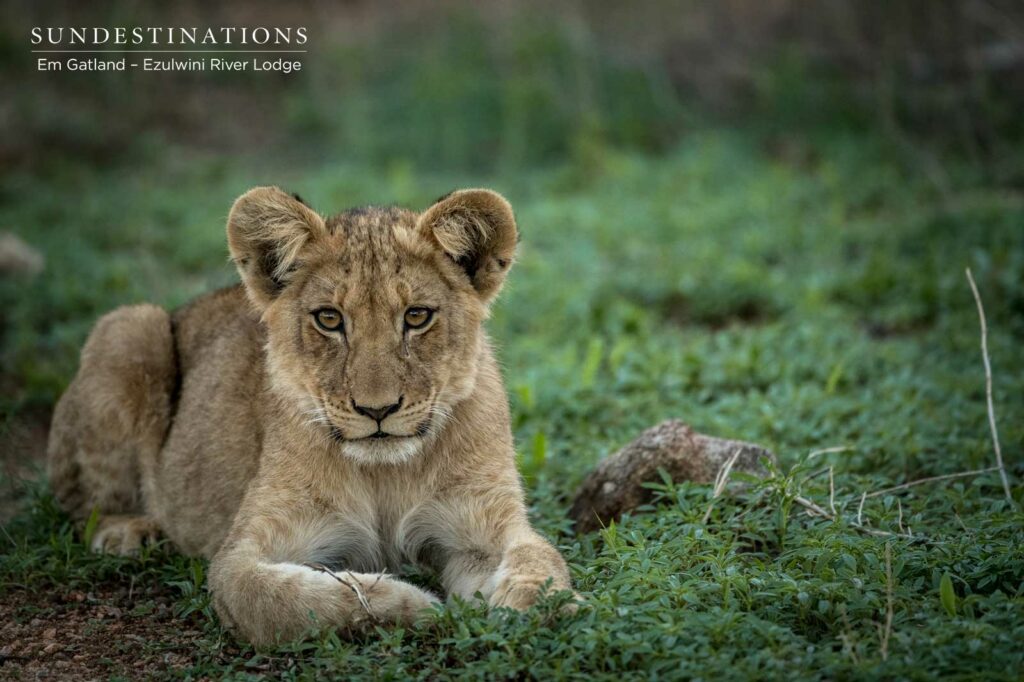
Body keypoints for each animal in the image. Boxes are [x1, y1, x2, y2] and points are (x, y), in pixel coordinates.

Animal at [46, 187, 573, 645]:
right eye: (329, 319)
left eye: (417, 316)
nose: (377, 409)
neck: (385, 476)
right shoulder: (240, 555)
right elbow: (286, 600)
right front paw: (414, 604)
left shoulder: (481, 528)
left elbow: (540, 556)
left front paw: (540, 605)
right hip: (129, 327)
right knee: (80, 506)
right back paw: (131, 532)